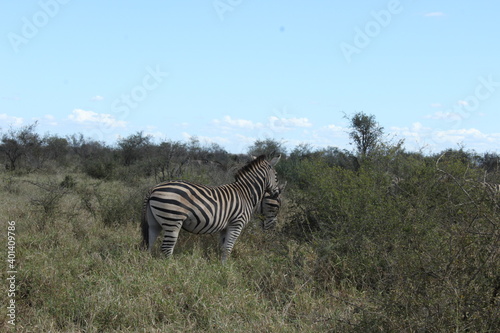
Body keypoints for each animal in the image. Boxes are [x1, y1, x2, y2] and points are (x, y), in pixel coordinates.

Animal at [141, 154, 282, 260]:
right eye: (276, 176)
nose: (277, 193)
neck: (245, 193)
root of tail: (154, 188)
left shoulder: (225, 227)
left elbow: (223, 248)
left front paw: (220, 267)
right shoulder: (237, 224)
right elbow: (228, 249)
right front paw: (225, 270)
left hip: (154, 222)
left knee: (149, 244)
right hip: (172, 220)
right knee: (166, 248)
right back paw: (171, 269)